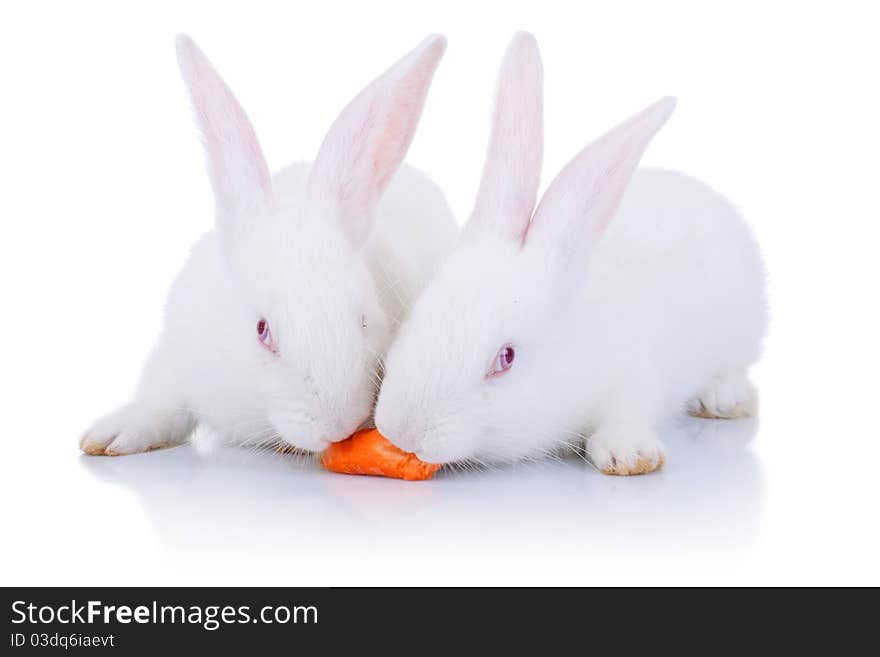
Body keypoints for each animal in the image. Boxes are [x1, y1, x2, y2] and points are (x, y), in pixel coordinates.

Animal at [374, 33, 768, 474]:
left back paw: (724, 399)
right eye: (414, 316)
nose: (403, 431)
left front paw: (628, 454)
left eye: (506, 357)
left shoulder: (632, 377)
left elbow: (628, 413)